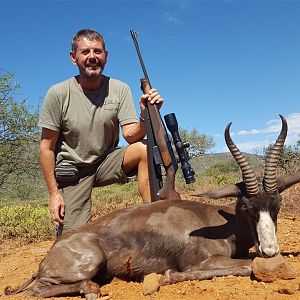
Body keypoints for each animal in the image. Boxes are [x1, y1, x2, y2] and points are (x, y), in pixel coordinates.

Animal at [5, 114, 300, 298]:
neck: (222, 224)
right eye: (247, 207)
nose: (269, 249)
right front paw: (167, 276)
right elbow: (248, 266)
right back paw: (90, 290)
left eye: (277, 204)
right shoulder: (202, 262)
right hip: (89, 261)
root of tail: (49, 255)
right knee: (36, 289)